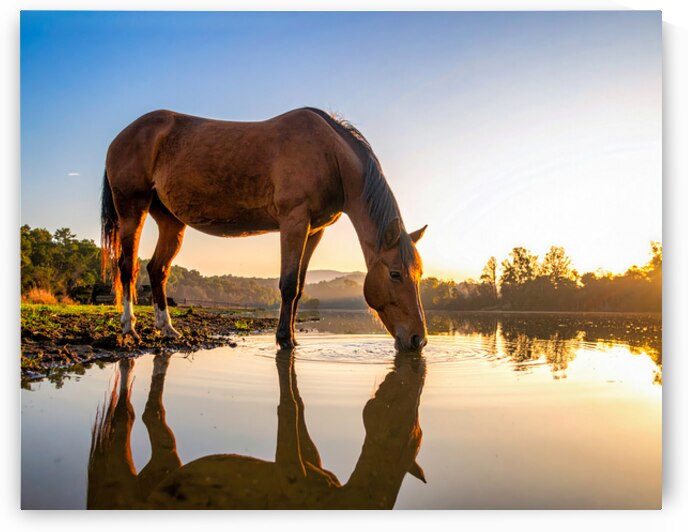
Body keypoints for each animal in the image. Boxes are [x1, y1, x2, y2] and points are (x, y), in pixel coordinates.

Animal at [101, 107, 428, 350]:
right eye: (395, 274)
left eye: (419, 274)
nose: (418, 340)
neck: (329, 154)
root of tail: (124, 135)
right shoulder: (294, 221)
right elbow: (288, 284)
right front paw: (284, 339)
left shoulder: (314, 230)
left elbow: (299, 287)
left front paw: (292, 337)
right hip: (133, 209)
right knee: (128, 267)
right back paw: (130, 329)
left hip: (170, 221)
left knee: (157, 269)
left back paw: (167, 328)